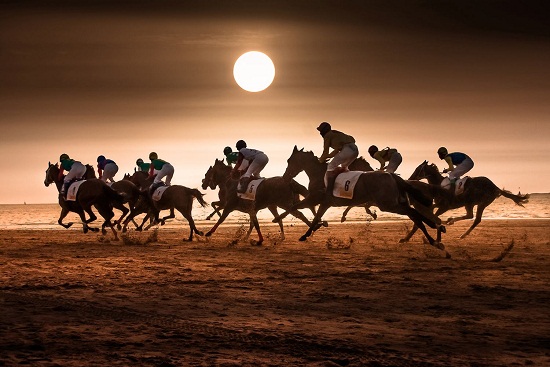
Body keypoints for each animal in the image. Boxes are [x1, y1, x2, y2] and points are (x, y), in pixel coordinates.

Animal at [274, 147, 446, 250]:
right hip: (397, 202)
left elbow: (296, 208)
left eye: (290, 161)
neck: (319, 174)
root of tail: (392, 176)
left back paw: (434, 236)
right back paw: (434, 236)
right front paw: (312, 230)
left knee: (415, 215)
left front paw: (286, 224)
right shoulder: (325, 203)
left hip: (388, 204)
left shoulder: (317, 199)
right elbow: (314, 215)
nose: (285, 177)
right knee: (415, 216)